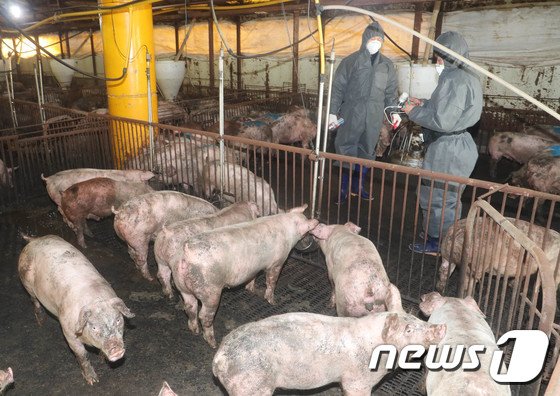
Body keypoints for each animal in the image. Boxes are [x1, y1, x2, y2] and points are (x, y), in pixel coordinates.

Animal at [18, 234, 135, 386]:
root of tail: (33, 240)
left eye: (118, 320)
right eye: (94, 327)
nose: (116, 348)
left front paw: (101, 358)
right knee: (34, 300)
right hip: (26, 282)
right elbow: (82, 356)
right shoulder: (68, 333)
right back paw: (41, 322)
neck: (96, 300)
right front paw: (93, 381)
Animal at [175, 204, 318, 346]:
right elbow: (272, 281)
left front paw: (252, 289)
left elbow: (252, 278)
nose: (310, 241)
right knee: (204, 315)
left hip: (181, 285)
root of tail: (187, 253)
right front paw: (273, 301)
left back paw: (194, 331)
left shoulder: (253, 268)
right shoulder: (277, 262)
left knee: (190, 307)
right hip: (209, 289)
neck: (289, 229)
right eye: (308, 231)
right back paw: (213, 342)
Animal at [213, 284, 446, 396]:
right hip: (250, 385)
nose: (440, 327)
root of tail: (219, 358)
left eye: (416, 319)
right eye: (408, 329)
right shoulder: (357, 381)